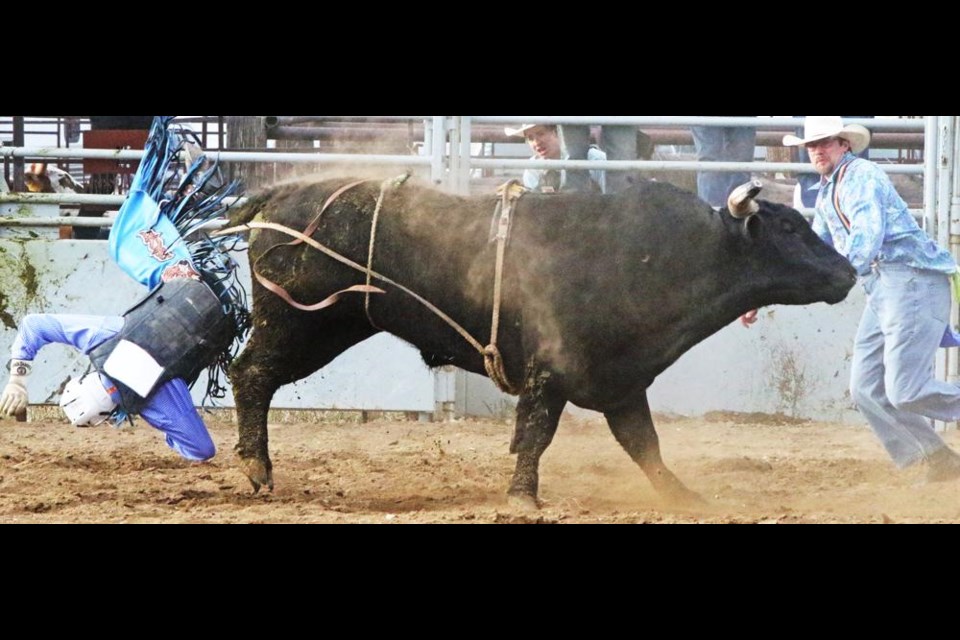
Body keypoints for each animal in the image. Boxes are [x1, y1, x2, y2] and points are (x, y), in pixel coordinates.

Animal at [225, 178, 856, 508]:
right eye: (789, 228)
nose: (848, 272)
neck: (655, 254)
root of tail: (281, 195)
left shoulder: (622, 382)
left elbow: (644, 445)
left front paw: (682, 497)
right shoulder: (550, 373)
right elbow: (536, 434)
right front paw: (522, 497)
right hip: (301, 325)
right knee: (251, 374)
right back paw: (257, 467)